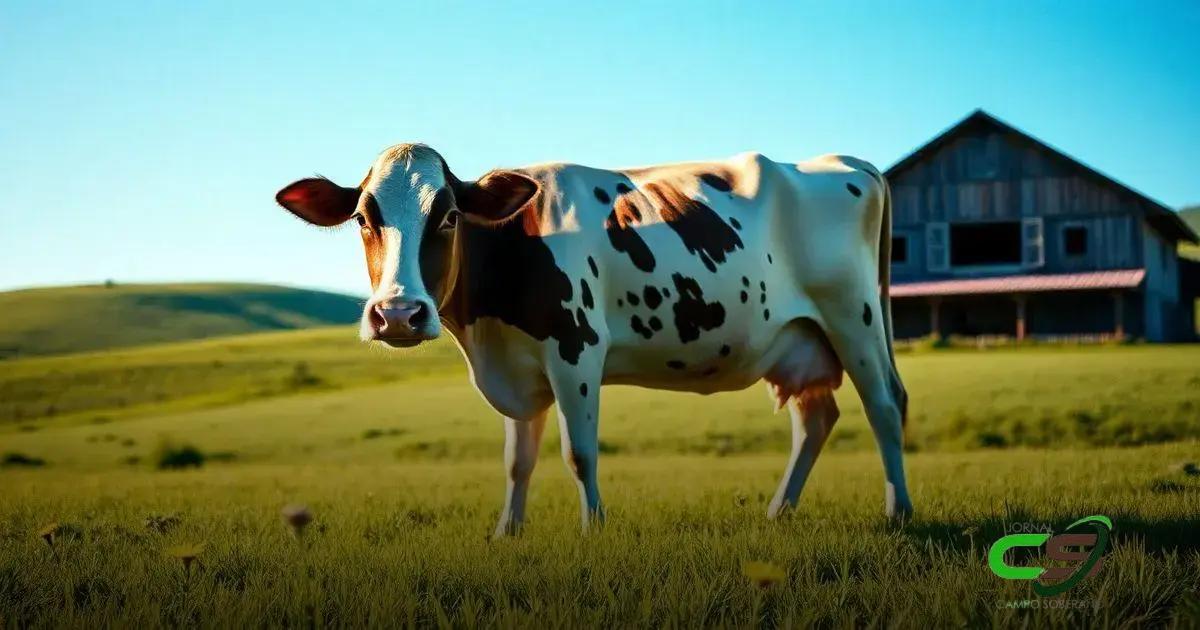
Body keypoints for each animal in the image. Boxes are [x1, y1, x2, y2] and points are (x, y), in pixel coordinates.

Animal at [275, 144, 912, 536]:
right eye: (363, 218)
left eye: (450, 216)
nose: (399, 315)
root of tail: (843, 162)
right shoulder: (517, 364)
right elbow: (517, 461)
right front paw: (507, 532)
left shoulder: (575, 349)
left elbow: (577, 453)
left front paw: (592, 529)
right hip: (798, 340)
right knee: (816, 418)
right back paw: (779, 512)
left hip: (854, 317)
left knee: (884, 406)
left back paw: (898, 511)